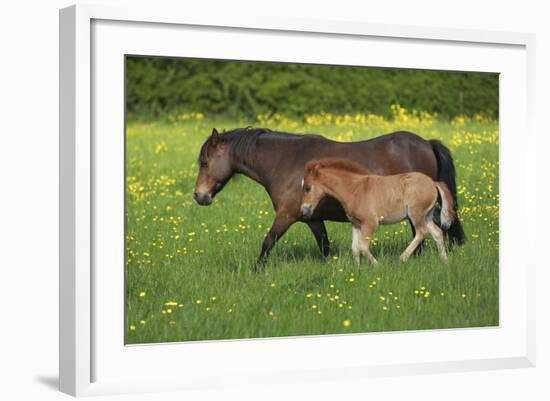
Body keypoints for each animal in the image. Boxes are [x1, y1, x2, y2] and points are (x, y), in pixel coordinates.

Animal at [302, 158, 458, 264]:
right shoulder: (356, 224)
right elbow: (355, 248)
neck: (355, 189)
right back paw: (445, 260)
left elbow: (363, 247)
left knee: (422, 232)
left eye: (307, 188)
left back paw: (402, 258)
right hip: (427, 215)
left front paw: (377, 265)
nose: (304, 209)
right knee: (437, 233)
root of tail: (433, 182)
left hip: (416, 214)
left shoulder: (370, 223)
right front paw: (357, 269)